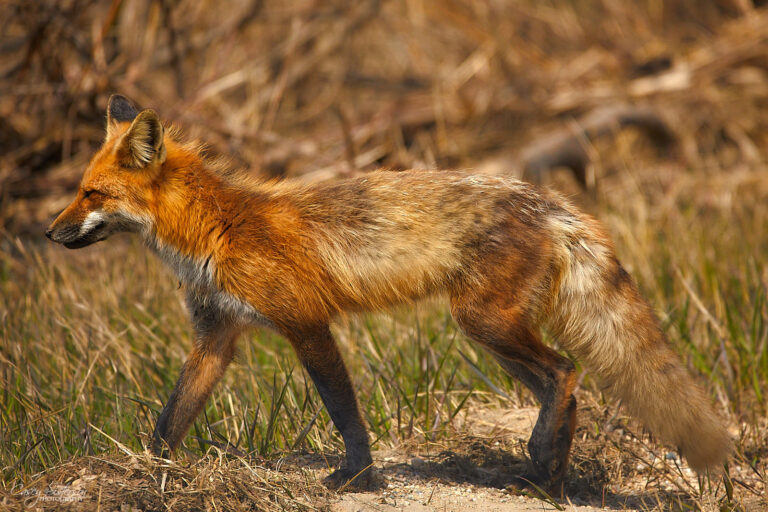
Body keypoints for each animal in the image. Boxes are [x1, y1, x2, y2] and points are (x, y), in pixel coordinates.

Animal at [46, 94, 731, 491]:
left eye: (91, 194)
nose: (48, 233)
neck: (217, 229)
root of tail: (552, 202)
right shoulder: (216, 338)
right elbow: (170, 419)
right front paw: (147, 475)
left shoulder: (304, 322)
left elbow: (343, 410)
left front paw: (356, 476)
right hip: (493, 333)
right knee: (562, 387)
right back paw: (548, 476)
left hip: (483, 323)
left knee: (565, 372)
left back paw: (544, 465)